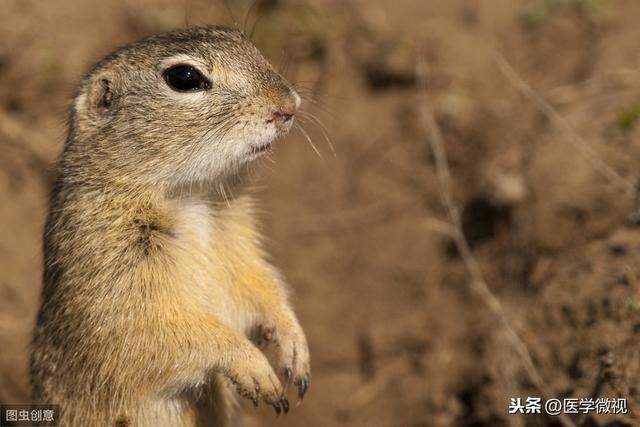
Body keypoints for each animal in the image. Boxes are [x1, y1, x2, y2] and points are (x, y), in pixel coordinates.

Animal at [30, 25, 310, 426]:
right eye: (184, 78)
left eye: (240, 37)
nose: (288, 106)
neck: (192, 197)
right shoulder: (113, 271)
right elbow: (164, 335)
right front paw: (256, 369)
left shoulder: (239, 245)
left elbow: (262, 286)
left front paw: (294, 348)